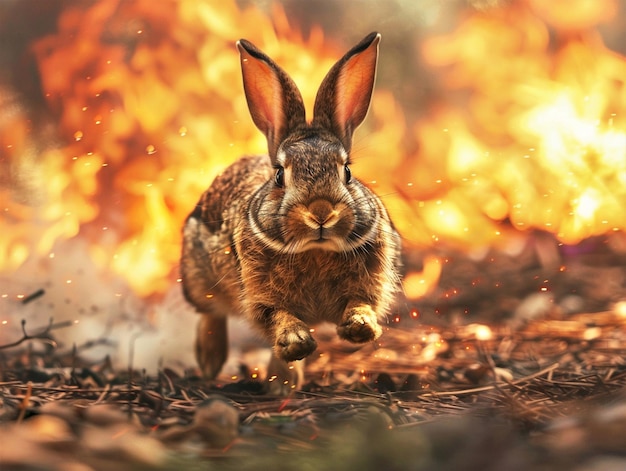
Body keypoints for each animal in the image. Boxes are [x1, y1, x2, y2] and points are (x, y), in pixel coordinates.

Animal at [179, 33, 400, 386]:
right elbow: (276, 317)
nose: (321, 212)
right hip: (198, 276)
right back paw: (214, 364)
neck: (316, 249)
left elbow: (362, 304)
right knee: (211, 314)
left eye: (347, 172)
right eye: (280, 175)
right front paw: (296, 342)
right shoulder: (260, 296)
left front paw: (360, 326)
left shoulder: (369, 284)